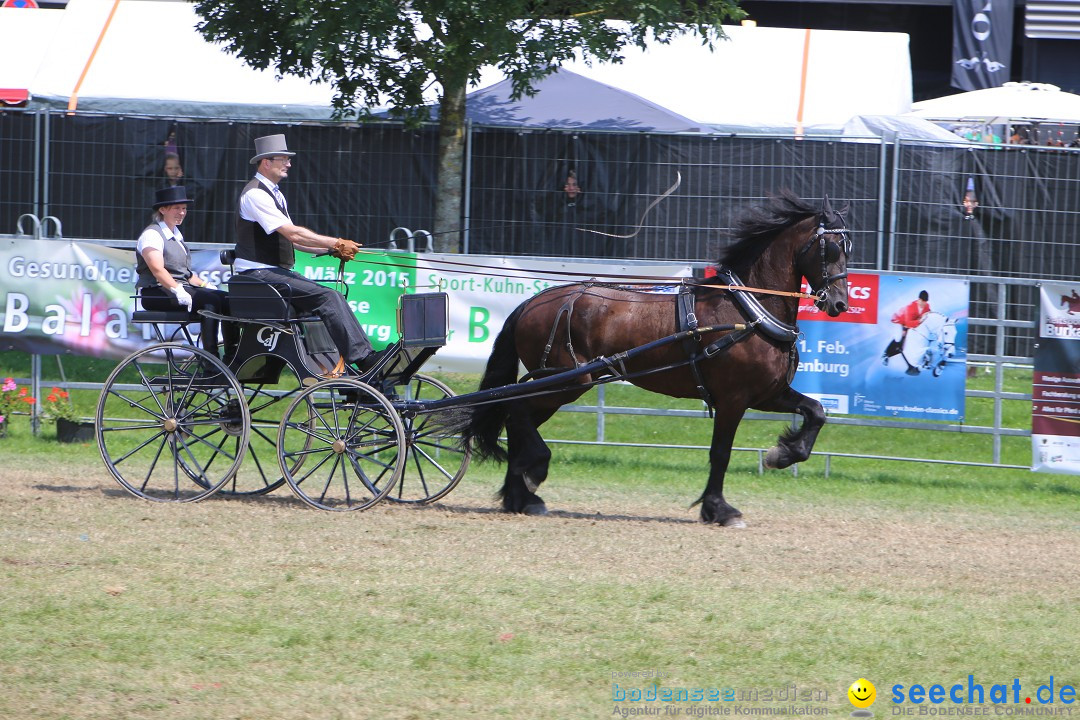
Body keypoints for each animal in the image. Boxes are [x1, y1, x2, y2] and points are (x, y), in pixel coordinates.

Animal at [460, 194, 846, 526]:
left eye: (848, 246)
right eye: (830, 248)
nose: (839, 303)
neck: (747, 309)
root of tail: (532, 302)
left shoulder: (767, 394)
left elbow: (816, 412)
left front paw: (783, 454)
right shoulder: (733, 399)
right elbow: (720, 453)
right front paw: (719, 509)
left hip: (556, 385)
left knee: (517, 418)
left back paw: (520, 497)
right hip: (567, 382)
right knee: (517, 412)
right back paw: (534, 473)